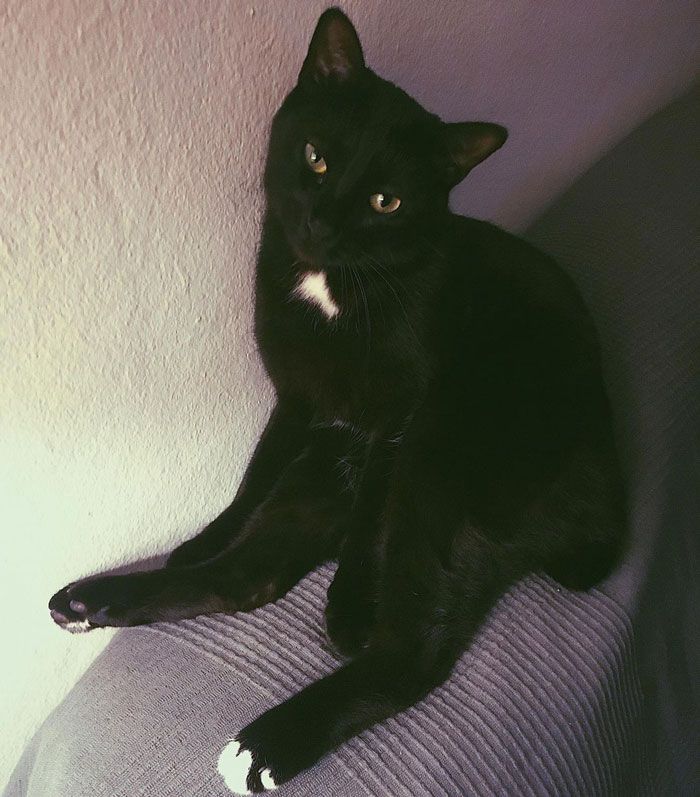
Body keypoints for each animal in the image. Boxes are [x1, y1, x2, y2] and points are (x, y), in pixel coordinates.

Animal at [49, 9, 624, 792]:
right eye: (317, 158)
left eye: (387, 201)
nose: (321, 219)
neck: (332, 286)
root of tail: (607, 502)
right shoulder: (295, 400)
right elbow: (252, 479)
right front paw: (207, 535)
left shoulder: (398, 422)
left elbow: (368, 530)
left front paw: (349, 603)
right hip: (323, 471)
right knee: (246, 577)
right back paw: (93, 601)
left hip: (438, 462)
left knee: (410, 653)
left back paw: (266, 744)